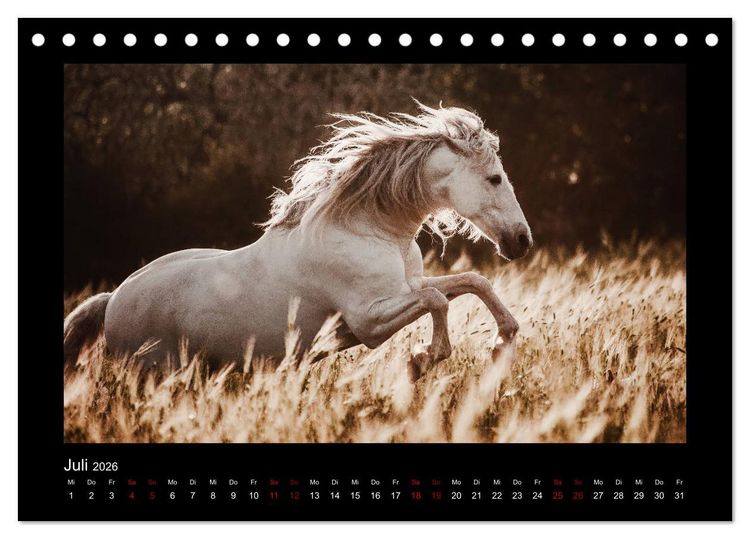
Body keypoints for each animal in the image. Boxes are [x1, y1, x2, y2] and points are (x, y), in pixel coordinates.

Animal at [63, 102, 532, 381]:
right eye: (495, 178)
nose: (521, 241)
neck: (366, 230)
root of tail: (113, 299)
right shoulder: (368, 320)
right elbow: (439, 302)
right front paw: (424, 357)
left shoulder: (406, 288)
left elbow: (471, 283)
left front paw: (501, 342)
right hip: (155, 374)